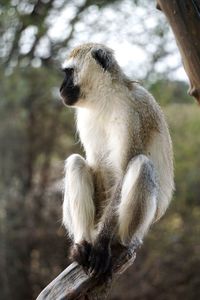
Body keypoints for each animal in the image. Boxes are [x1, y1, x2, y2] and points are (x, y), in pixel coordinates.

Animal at [59, 42, 173, 276]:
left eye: (69, 72)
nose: (60, 89)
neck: (105, 97)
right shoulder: (84, 116)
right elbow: (97, 167)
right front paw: (90, 245)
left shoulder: (133, 111)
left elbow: (123, 170)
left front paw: (101, 244)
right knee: (76, 162)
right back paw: (83, 244)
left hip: (135, 229)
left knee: (141, 164)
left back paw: (114, 242)